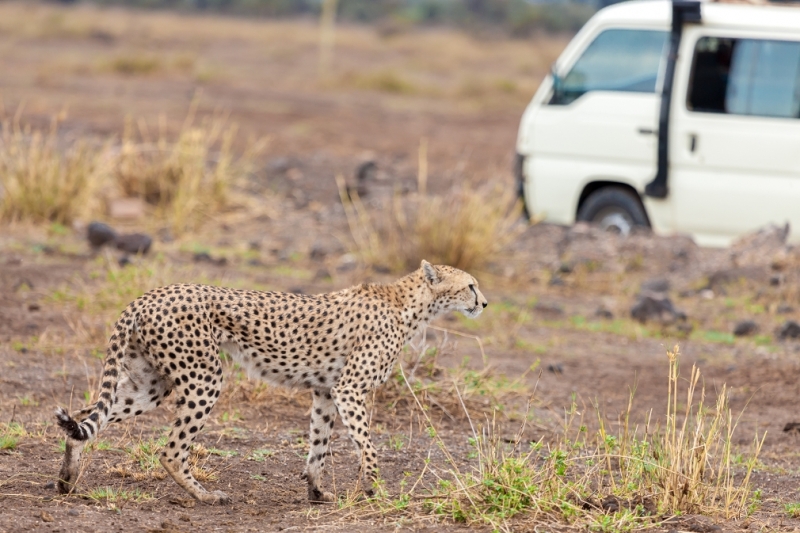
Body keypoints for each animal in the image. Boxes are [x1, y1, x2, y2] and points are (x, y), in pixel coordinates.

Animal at [54, 260, 488, 504]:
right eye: (470, 285)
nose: (483, 303)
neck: (410, 304)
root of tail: (150, 294)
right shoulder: (349, 390)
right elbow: (368, 445)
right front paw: (371, 491)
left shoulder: (326, 391)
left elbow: (319, 445)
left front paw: (316, 492)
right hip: (204, 376)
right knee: (171, 450)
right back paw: (205, 496)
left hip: (151, 384)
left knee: (85, 418)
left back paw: (66, 480)